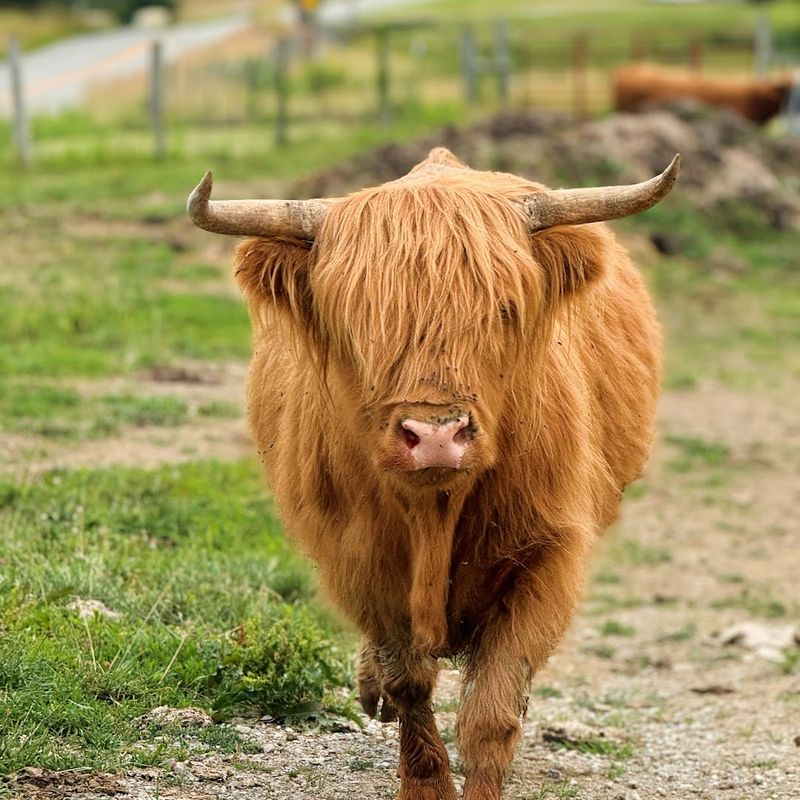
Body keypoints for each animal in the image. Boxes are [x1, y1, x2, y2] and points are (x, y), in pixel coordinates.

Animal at [187, 147, 678, 800]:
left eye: (504, 310)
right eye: (358, 321)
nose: (437, 435)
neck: (435, 514)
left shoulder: (547, 555)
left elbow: (493, 709)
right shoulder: (359, 564)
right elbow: (409, 682)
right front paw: (424, 780)